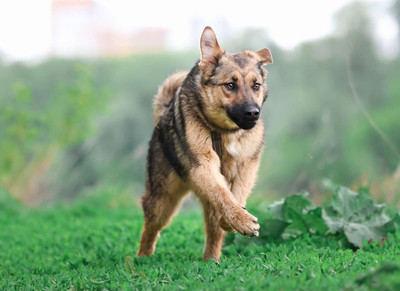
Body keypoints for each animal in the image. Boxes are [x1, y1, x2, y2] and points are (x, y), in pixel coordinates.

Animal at [138, 26, 272, 262]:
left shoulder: (247, 166)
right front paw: (242, 220)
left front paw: (234, 221)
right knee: (150, 229)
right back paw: (141, 259)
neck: (223, 130)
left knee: (213, 229)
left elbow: (235, 196)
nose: (253, 114)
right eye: (230, 85)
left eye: (256, 85)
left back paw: (211, 260)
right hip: (162, 200)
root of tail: (163, 114)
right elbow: (224, 195)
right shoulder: (203, 165)